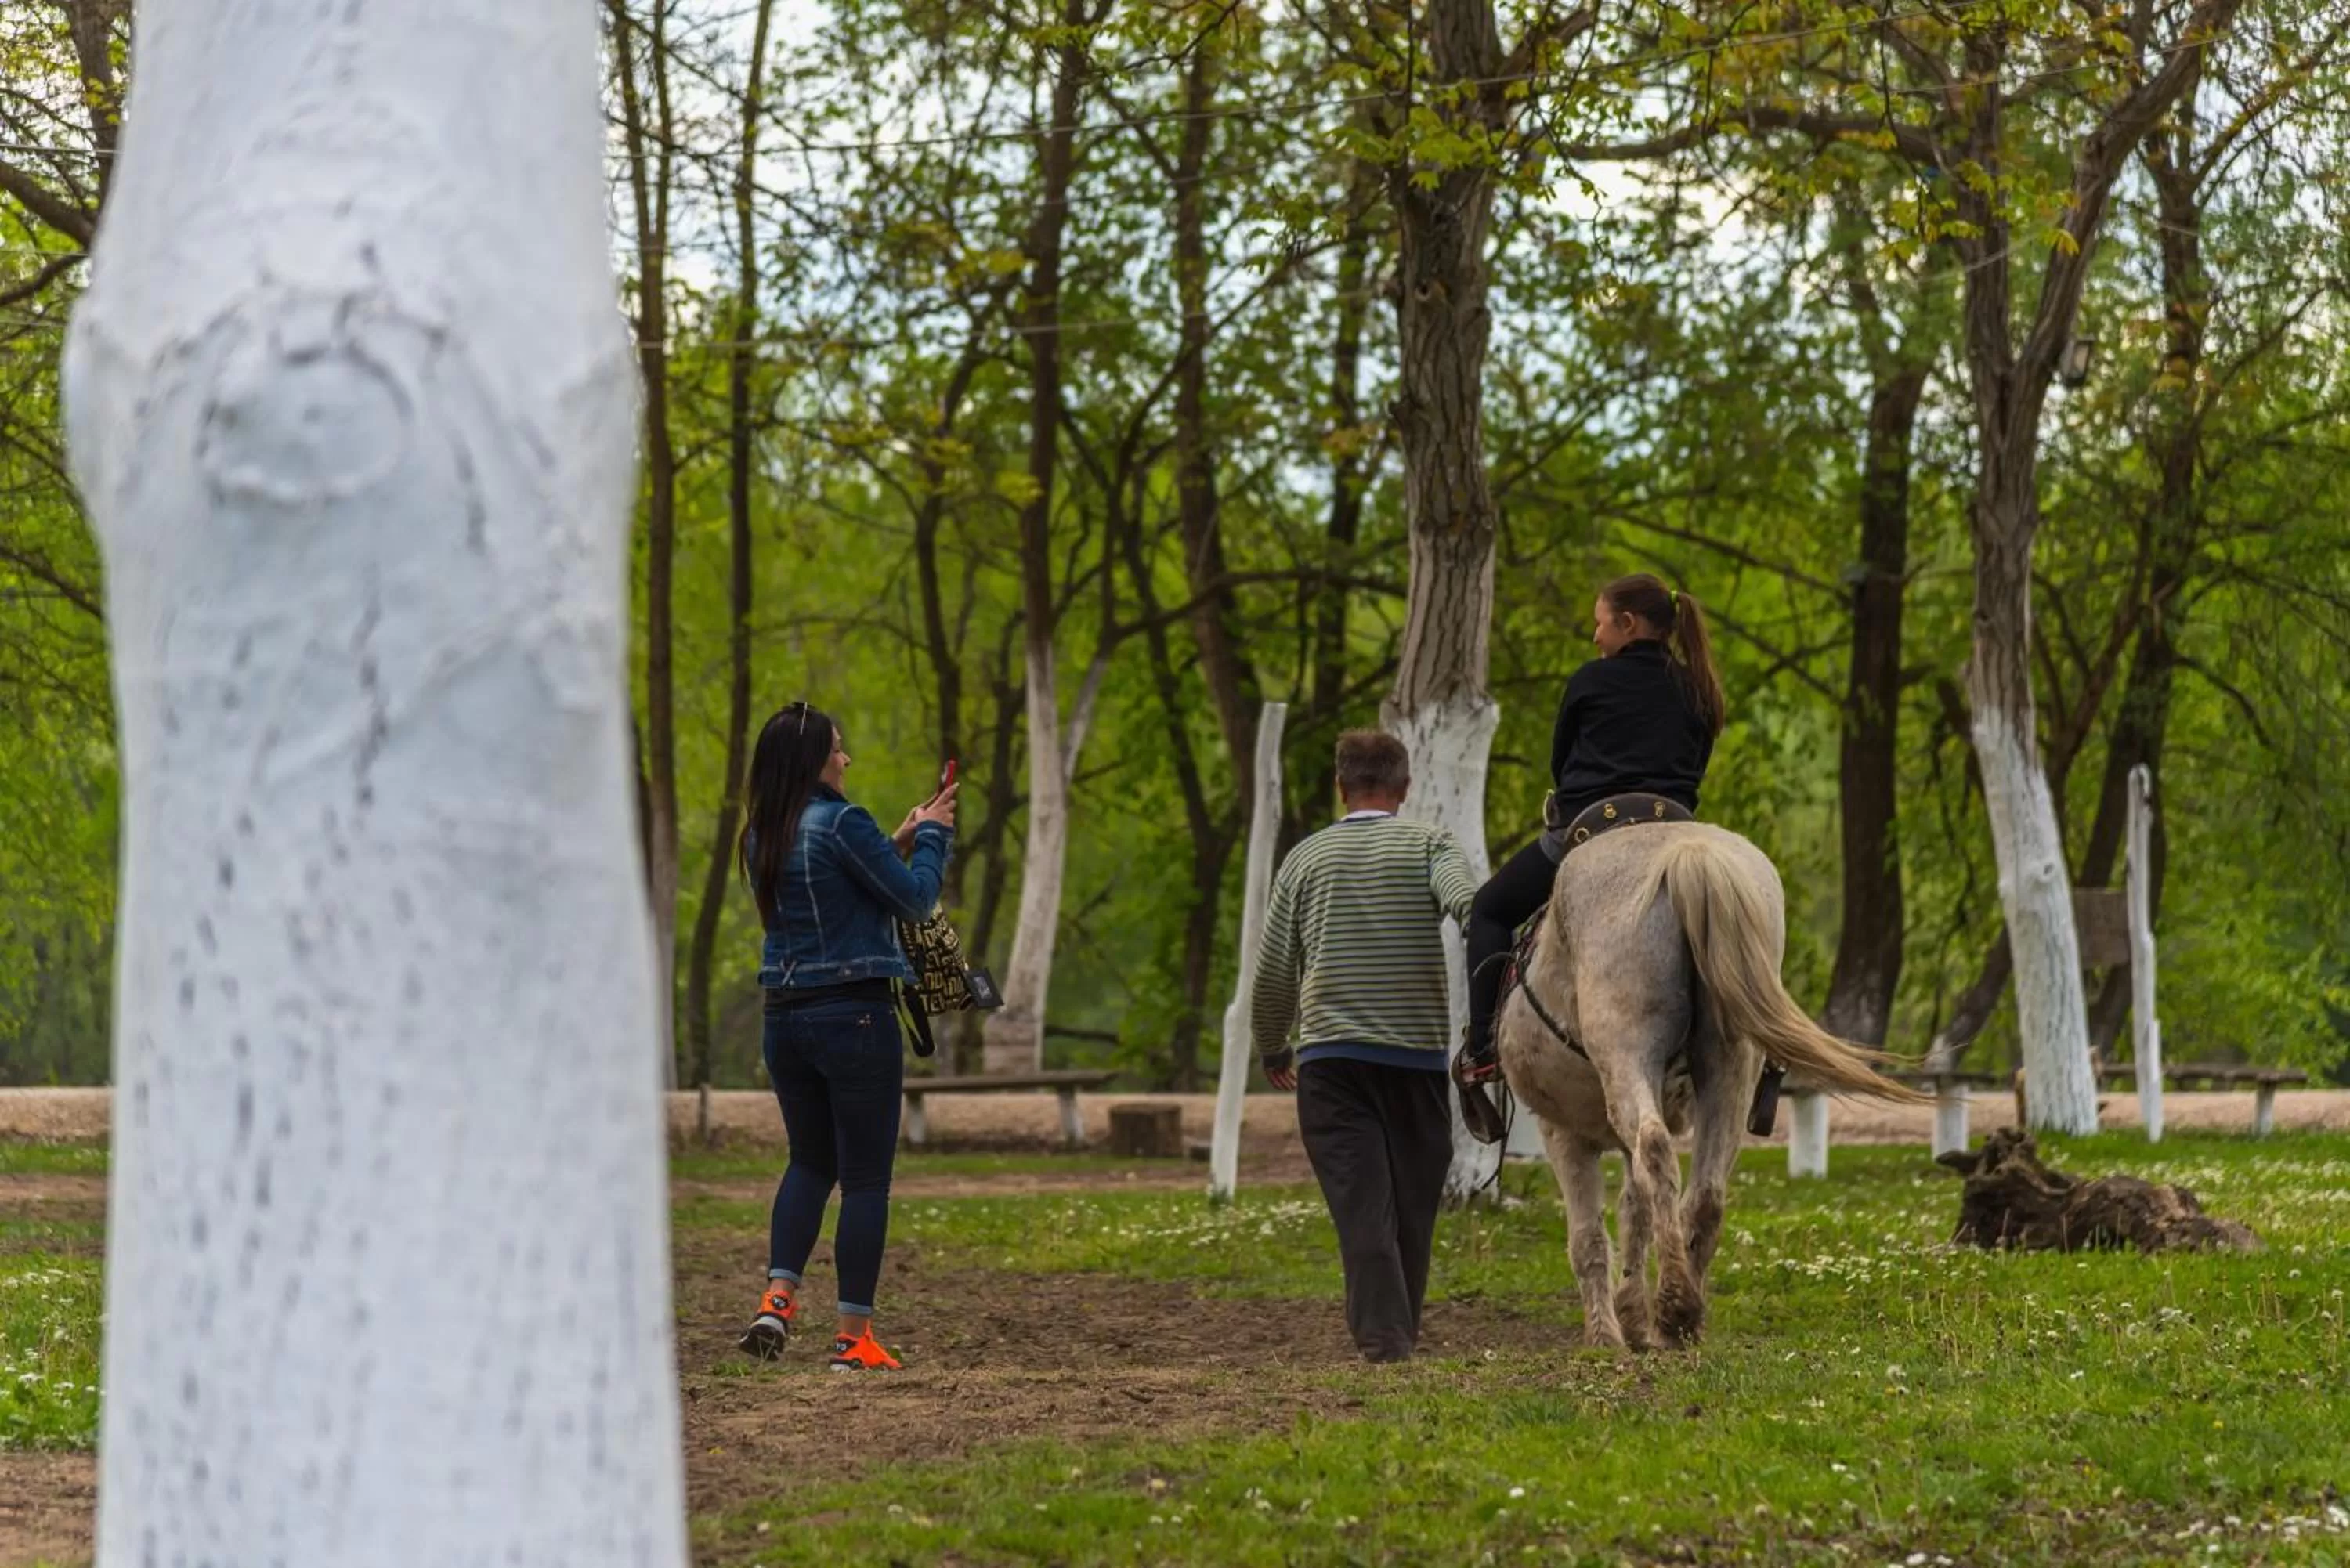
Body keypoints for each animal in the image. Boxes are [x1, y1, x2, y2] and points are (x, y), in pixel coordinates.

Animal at [1497, 821, 1921, 1350]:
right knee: (1704, 1193)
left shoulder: (1562, 1132)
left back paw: (1674, 1303)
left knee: (1656, 1148)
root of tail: (1688, 855)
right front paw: (1631, 1316)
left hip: (1628, 1057)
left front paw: (1606, 1336)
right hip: (1730, 1070)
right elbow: (1635, 1211)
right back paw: (1681, 1317)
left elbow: (1589, 1238)